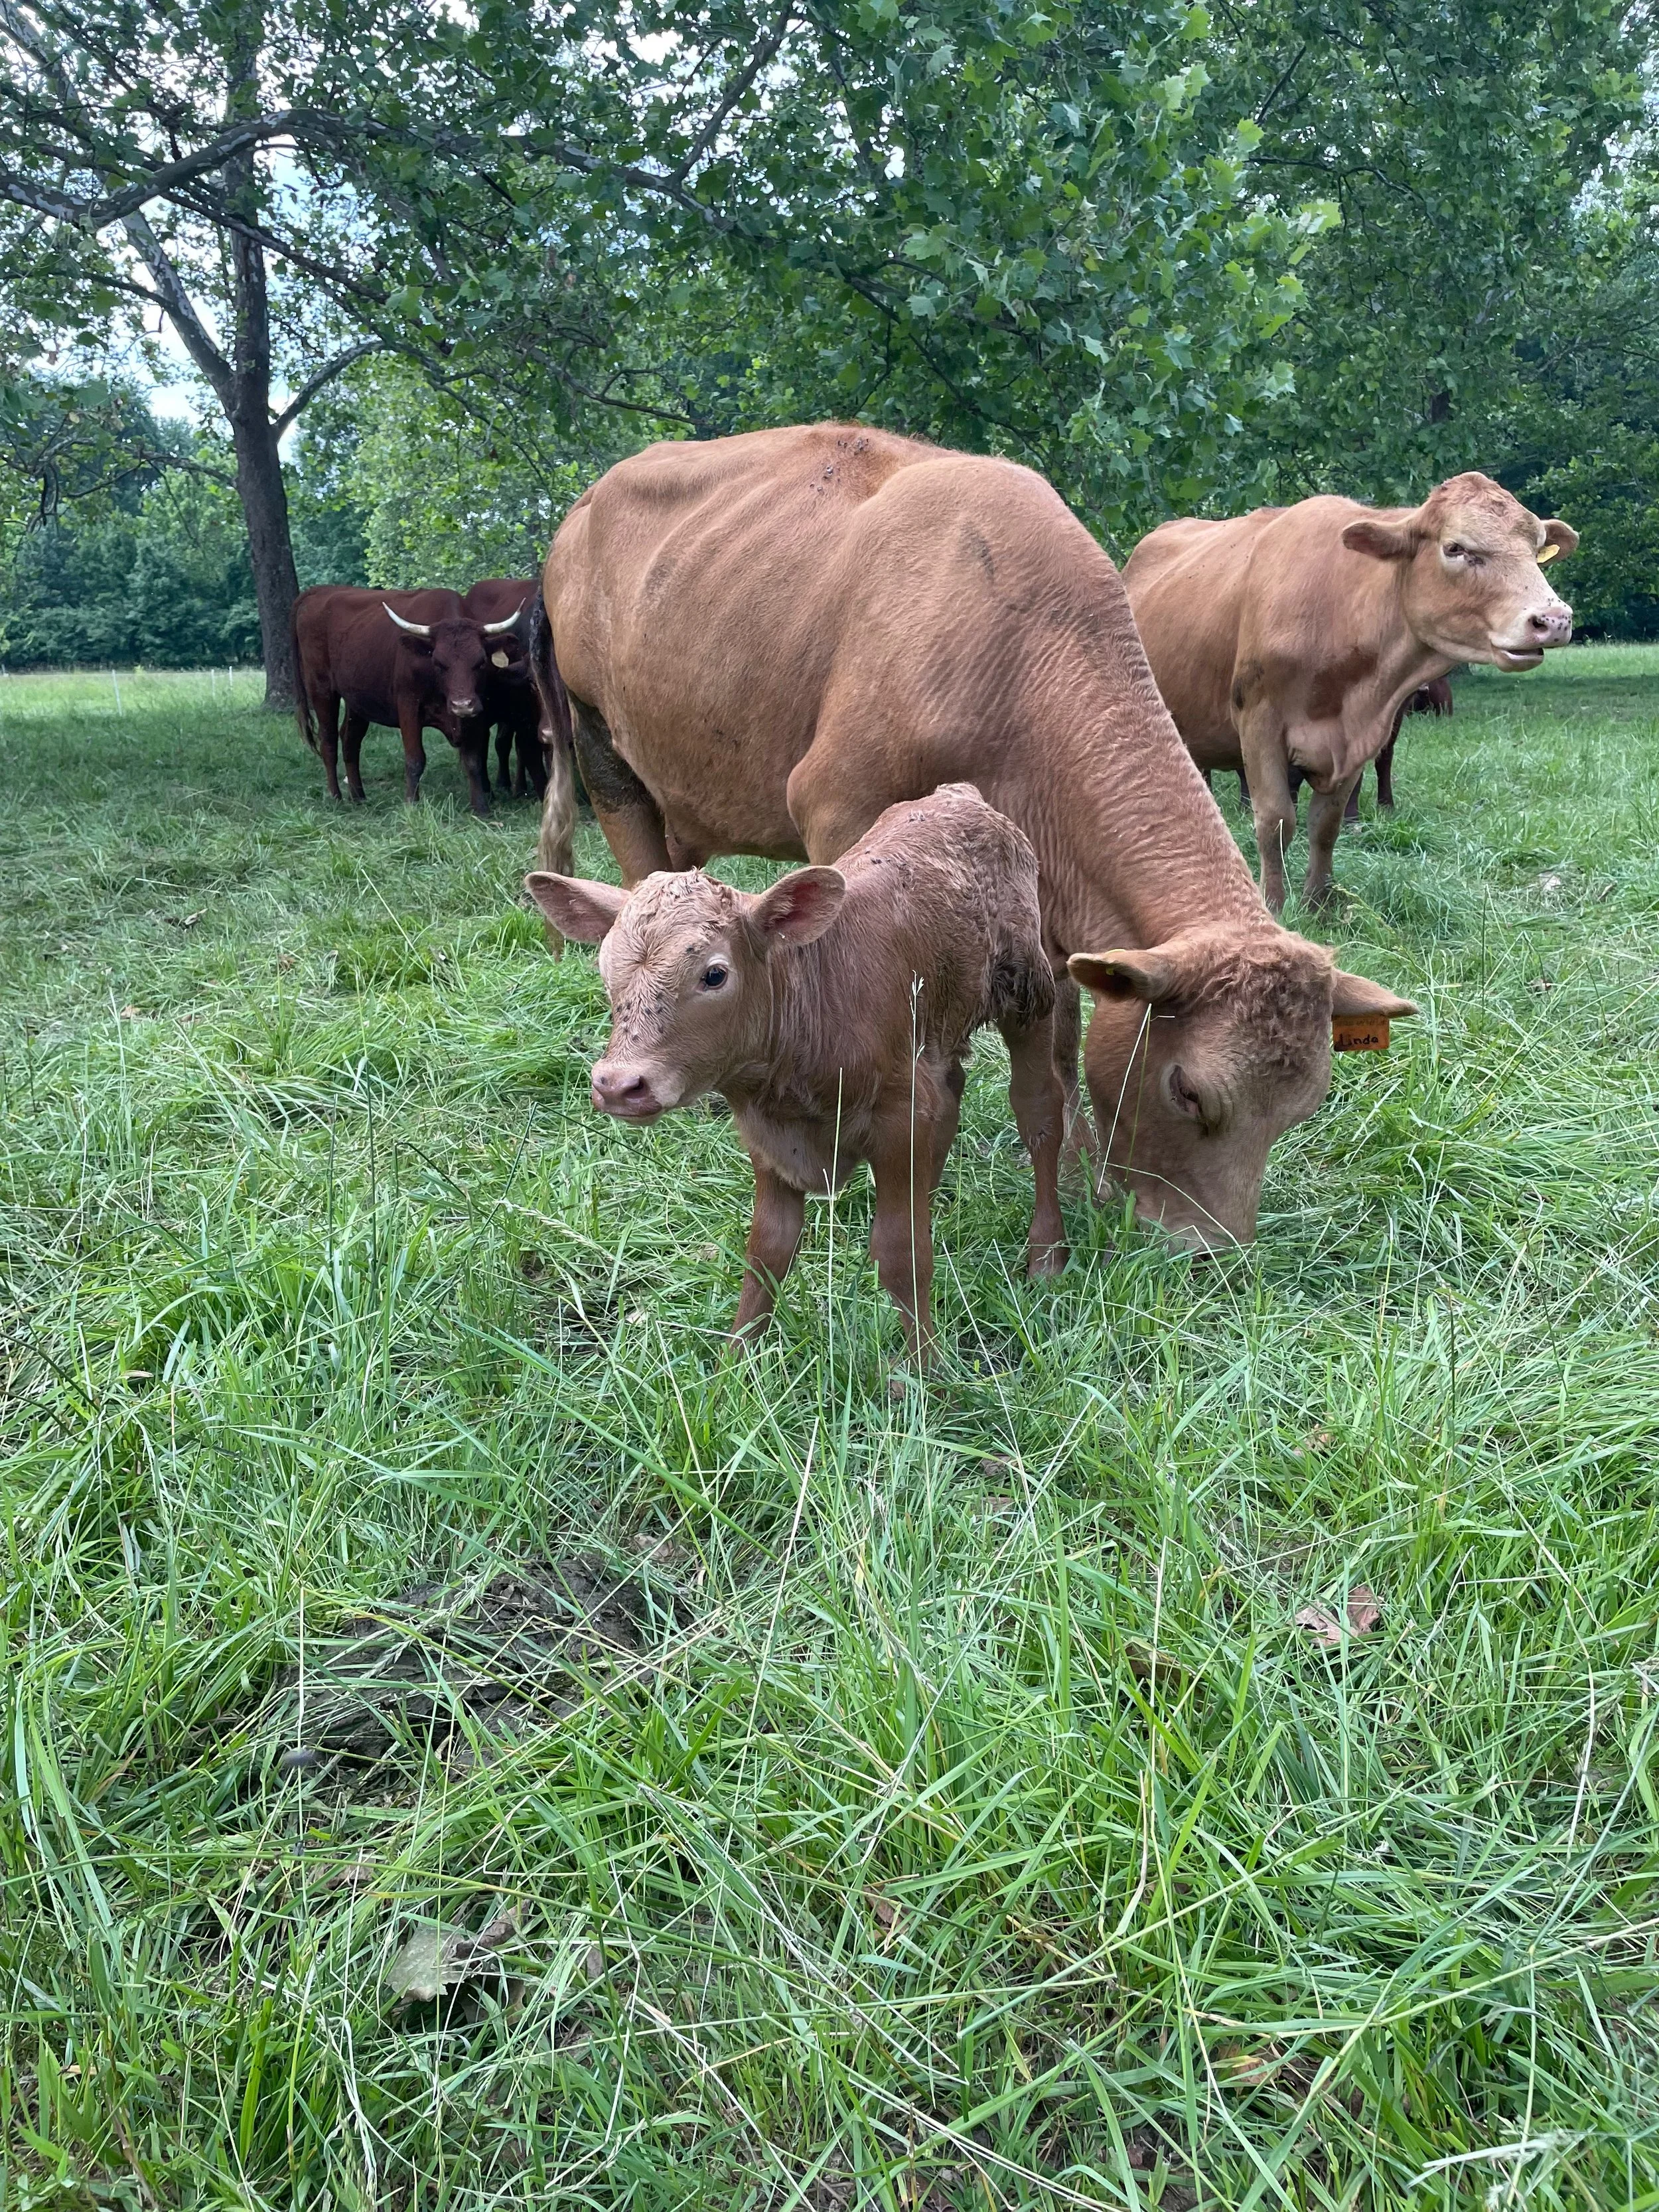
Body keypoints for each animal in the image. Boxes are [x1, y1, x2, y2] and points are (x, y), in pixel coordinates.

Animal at [291, 585, 522, 813]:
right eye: (438, 663)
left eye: (481, 662)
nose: (462, 704)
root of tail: (321, 590)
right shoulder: (409, 707)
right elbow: (415, 759)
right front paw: (411, 804)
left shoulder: (477, 712)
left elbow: (474, 760)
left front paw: (481, 807)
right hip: (321, 689)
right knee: (328, 742)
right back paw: (336, 797)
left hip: (356, 699)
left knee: (350, 740)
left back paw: (358, 796)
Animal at [525, 784, 1065, 1357]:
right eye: (604, 968)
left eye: (714, 974)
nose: (618, 1085)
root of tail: (956, 793)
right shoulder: (767, 1137)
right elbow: (768, 1252)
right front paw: (736, 1365)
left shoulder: (900, 1116)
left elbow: (901, 1251)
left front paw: (925, 1369)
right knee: (951, 1096)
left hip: (1030, 993)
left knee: (1039, 1110)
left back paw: (1047, 1254)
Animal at [531, 424, 1415, 1254]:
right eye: (1189, 1091)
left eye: (1301, 1109)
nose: (1208, 1255)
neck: (1022, 653)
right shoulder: (839, 814)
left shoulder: (1040, 915)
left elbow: (1060, 1050)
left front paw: (1083, 1174)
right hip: (604, 751)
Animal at [1122, 473, 1576, 912]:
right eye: (1455, 548)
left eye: (1536, 548)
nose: (1554, 619)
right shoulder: (1258, 722)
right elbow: (1275, 822)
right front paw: (1274, 904)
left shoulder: (1360, 735)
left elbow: (1326, 824)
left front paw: (1319, 904)